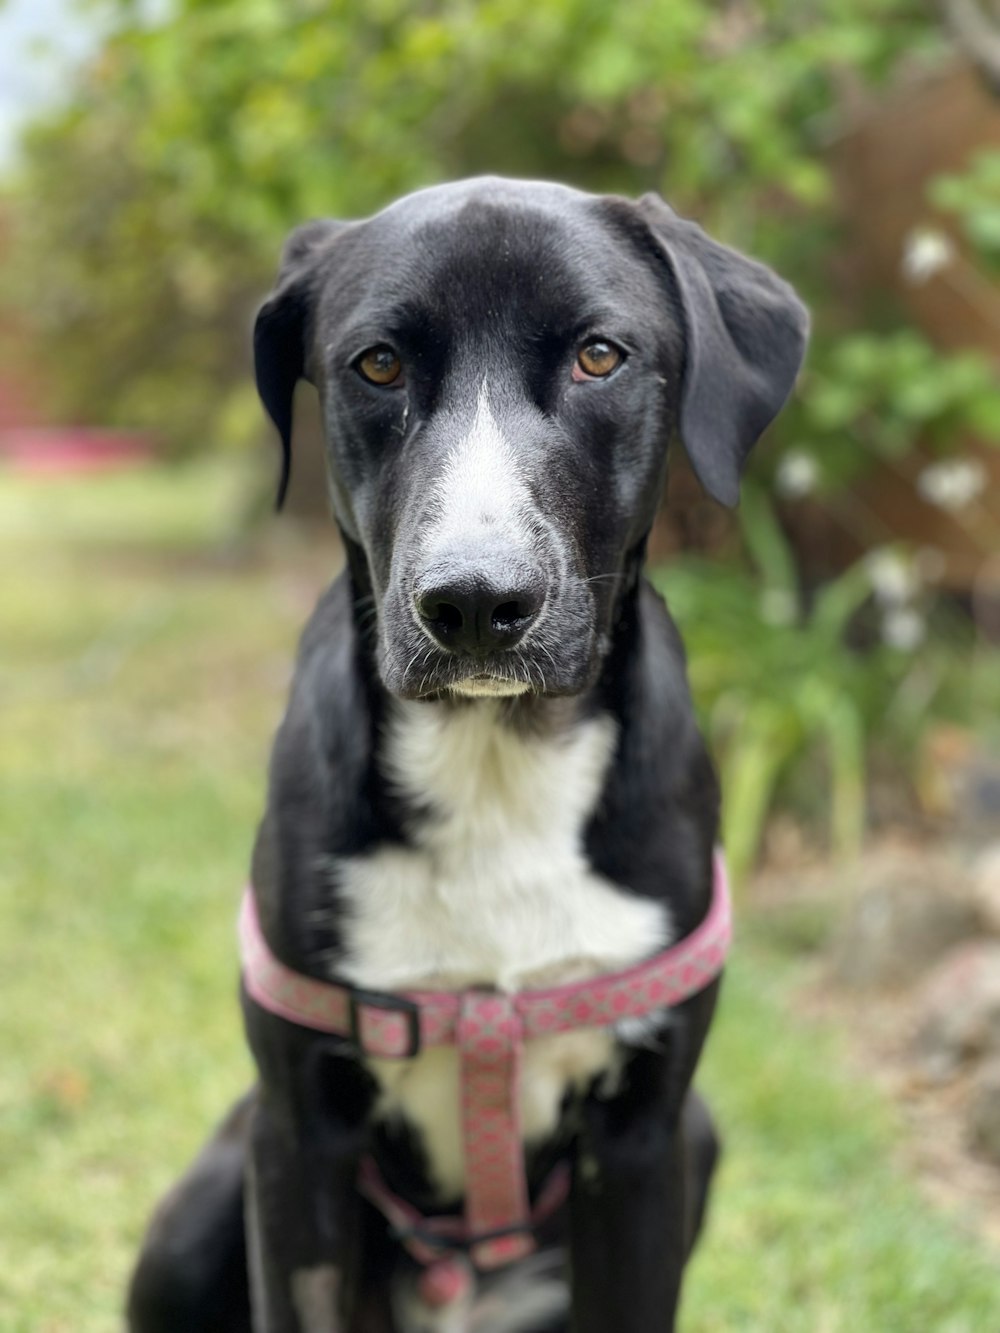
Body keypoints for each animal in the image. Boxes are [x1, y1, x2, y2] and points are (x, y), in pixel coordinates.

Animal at [129, 177, 810, 1333]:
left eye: (598, 355)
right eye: (378, 365)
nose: (478, 603)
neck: (495, 763)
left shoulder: (643, 1145)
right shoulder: (297, 1137)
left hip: (699, 1136)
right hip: (206, 1199)